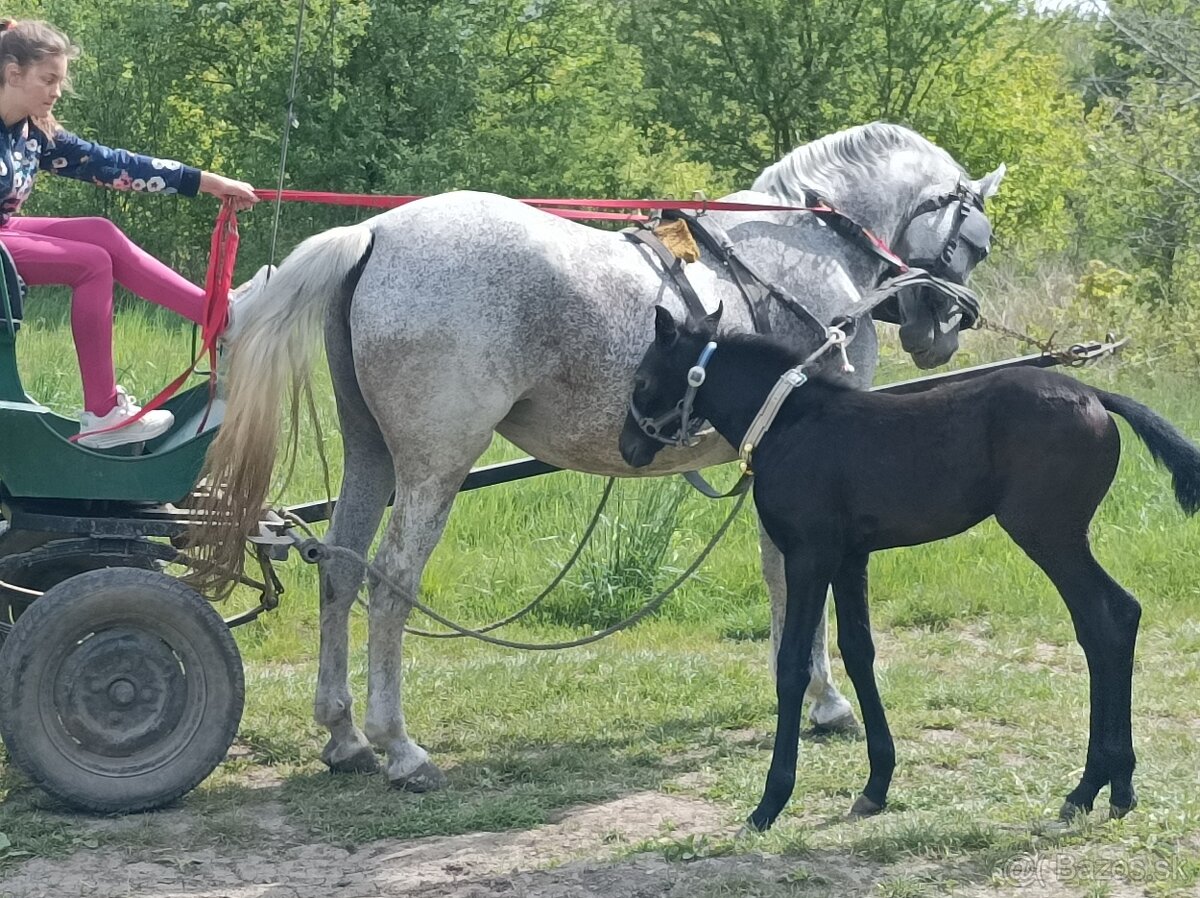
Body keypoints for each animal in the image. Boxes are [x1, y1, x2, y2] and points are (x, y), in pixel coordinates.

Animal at [194, 123, 1003, 787]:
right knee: (390, 579)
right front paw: (826, 698)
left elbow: (778, 570)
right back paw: (399, 746)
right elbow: (800, 576)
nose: (946, 328)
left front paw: (803, 687)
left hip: (372, 451)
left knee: (340, 564)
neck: (808, 245)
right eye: (976, 241)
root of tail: (375, 235)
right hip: (436, 462)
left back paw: (344, 734)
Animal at [619, 304, 1200, 830]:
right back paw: (1113, 788)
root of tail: (1096, 396)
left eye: (642, 379)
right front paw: (876, 787)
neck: (791, 423)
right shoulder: (849, 557)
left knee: (1107, 620)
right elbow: (859, 651)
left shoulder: (809, 555)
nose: (629, 447)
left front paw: (768, 805)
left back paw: (1093, 788)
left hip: (1049, 535)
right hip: (1059, 537)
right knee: (1113, 619)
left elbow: (792, 665)